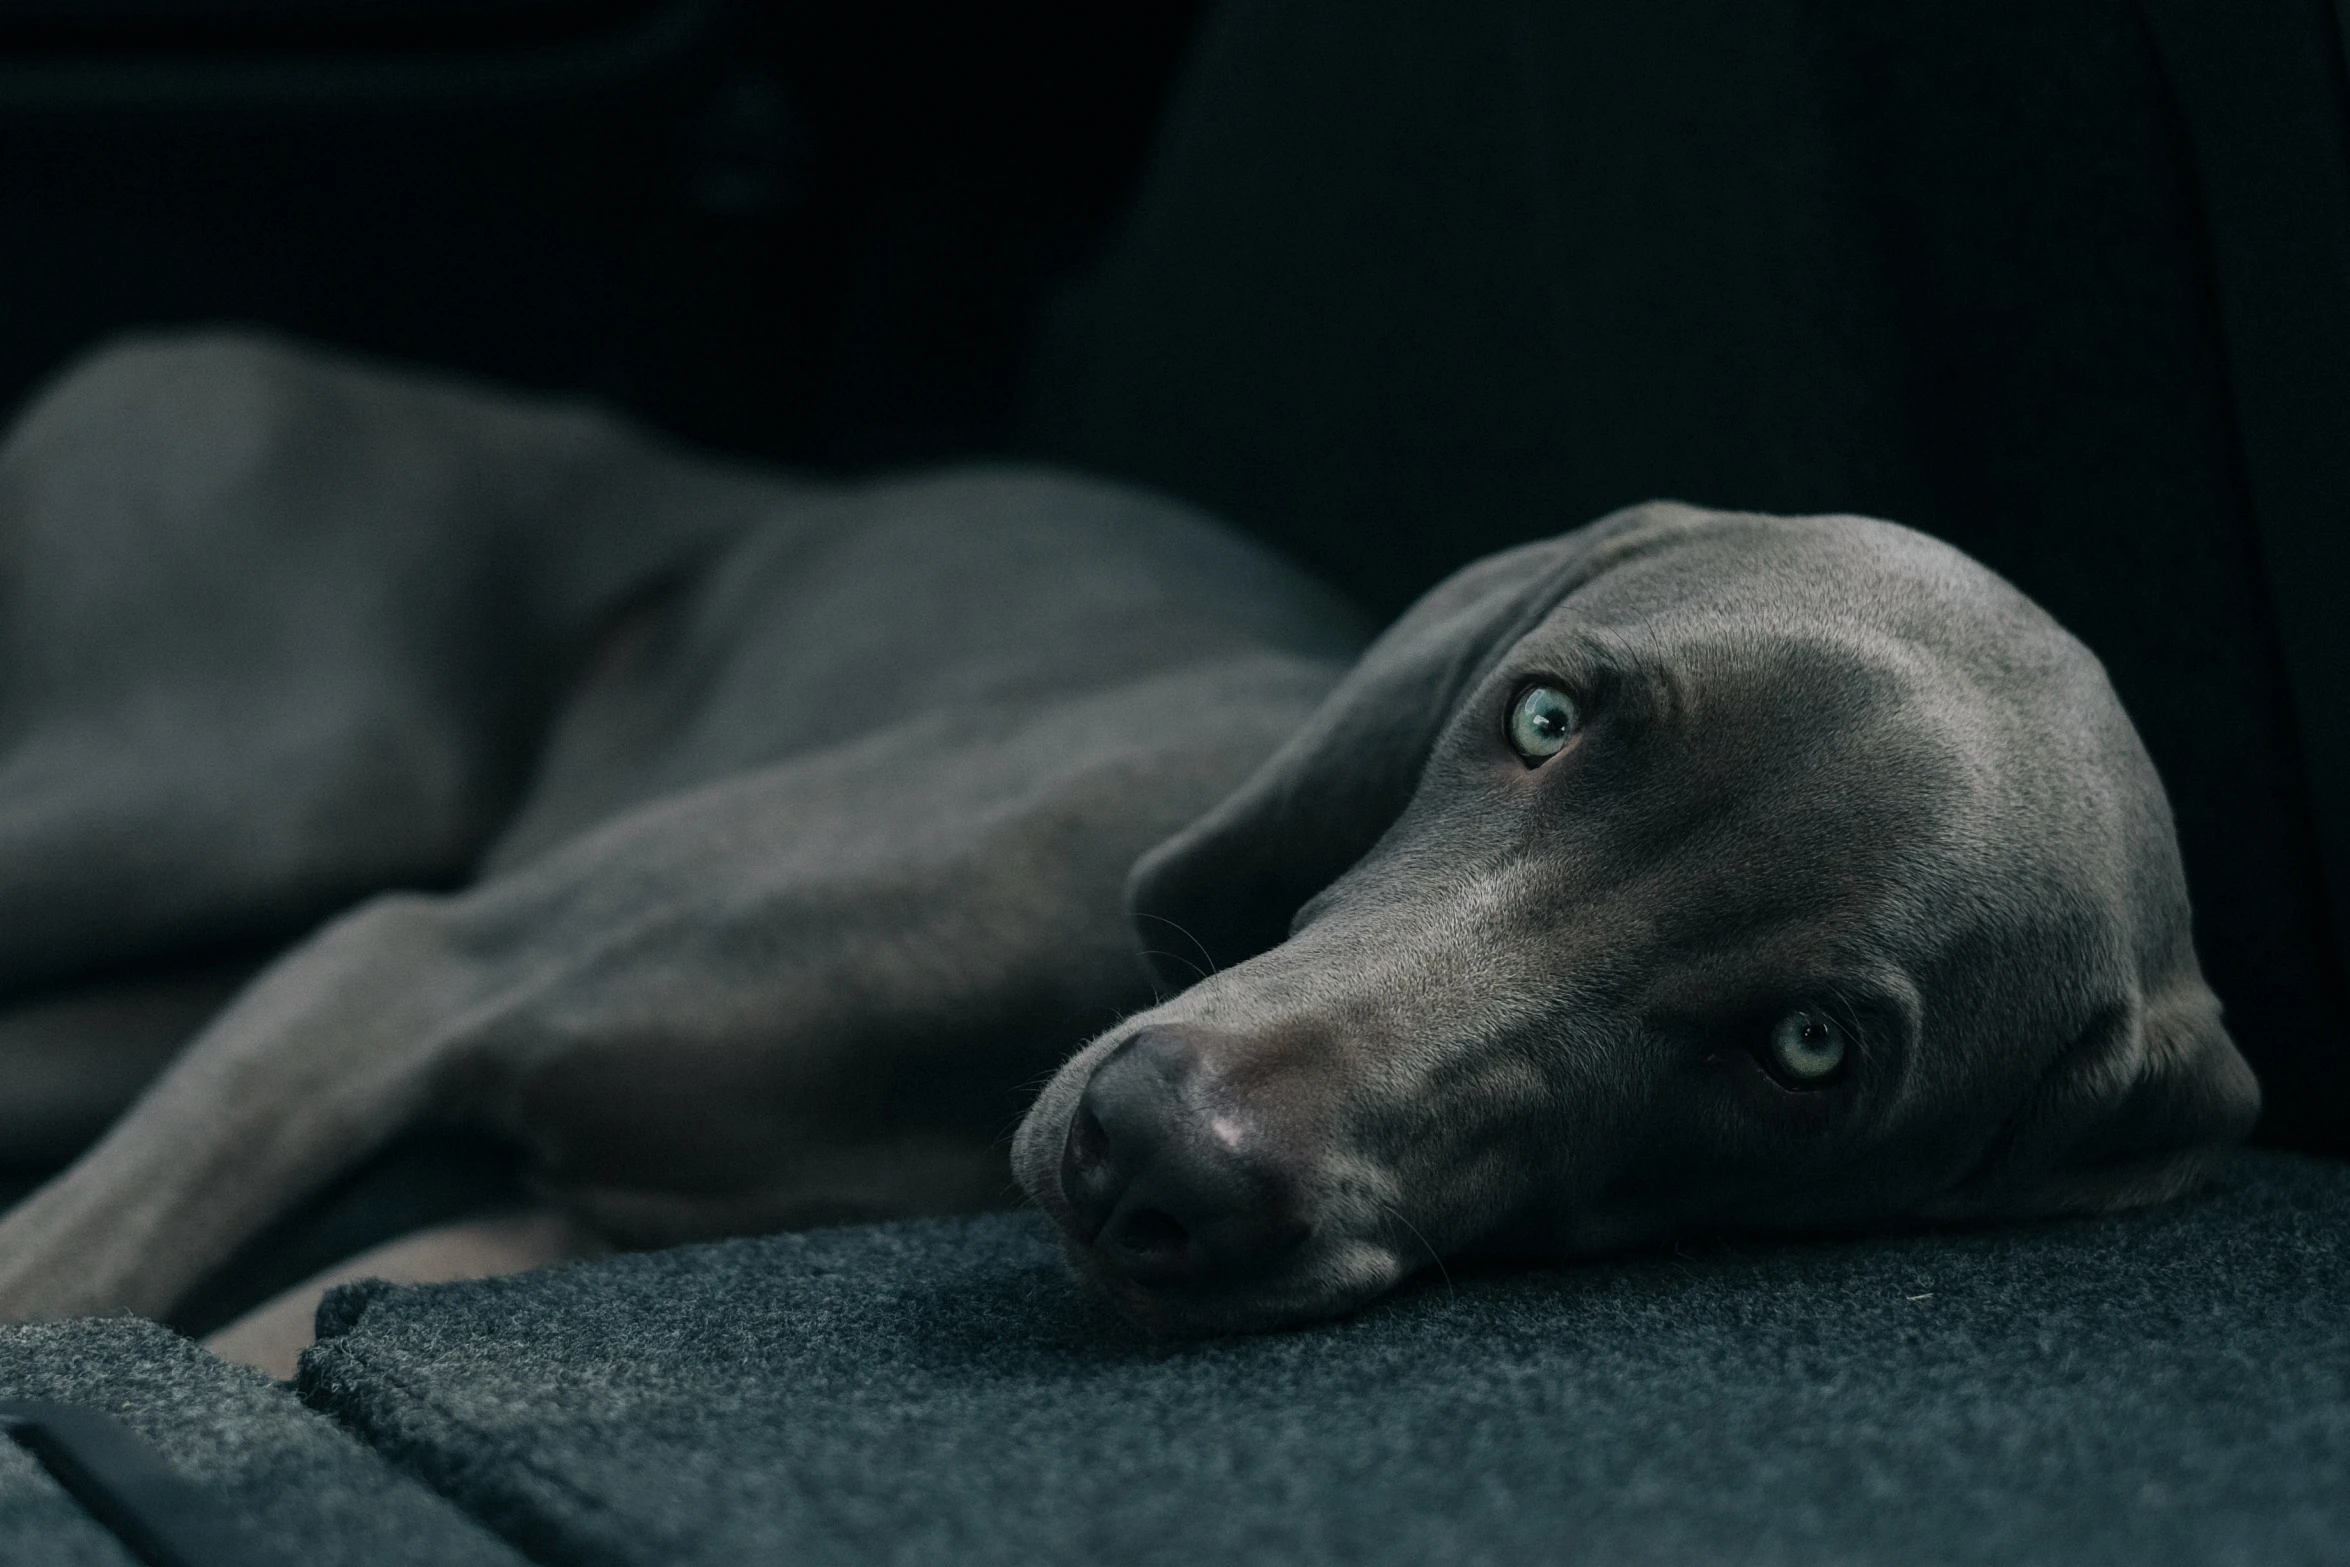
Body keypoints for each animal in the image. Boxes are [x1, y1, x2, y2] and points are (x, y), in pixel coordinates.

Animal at [0, 333, 2256, 1334]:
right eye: (1542, 716)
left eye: (1808, 1054)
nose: (1148, 1153)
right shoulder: (406, 970)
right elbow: (63, 1287)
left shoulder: (531, 1234)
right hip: (244, 772)